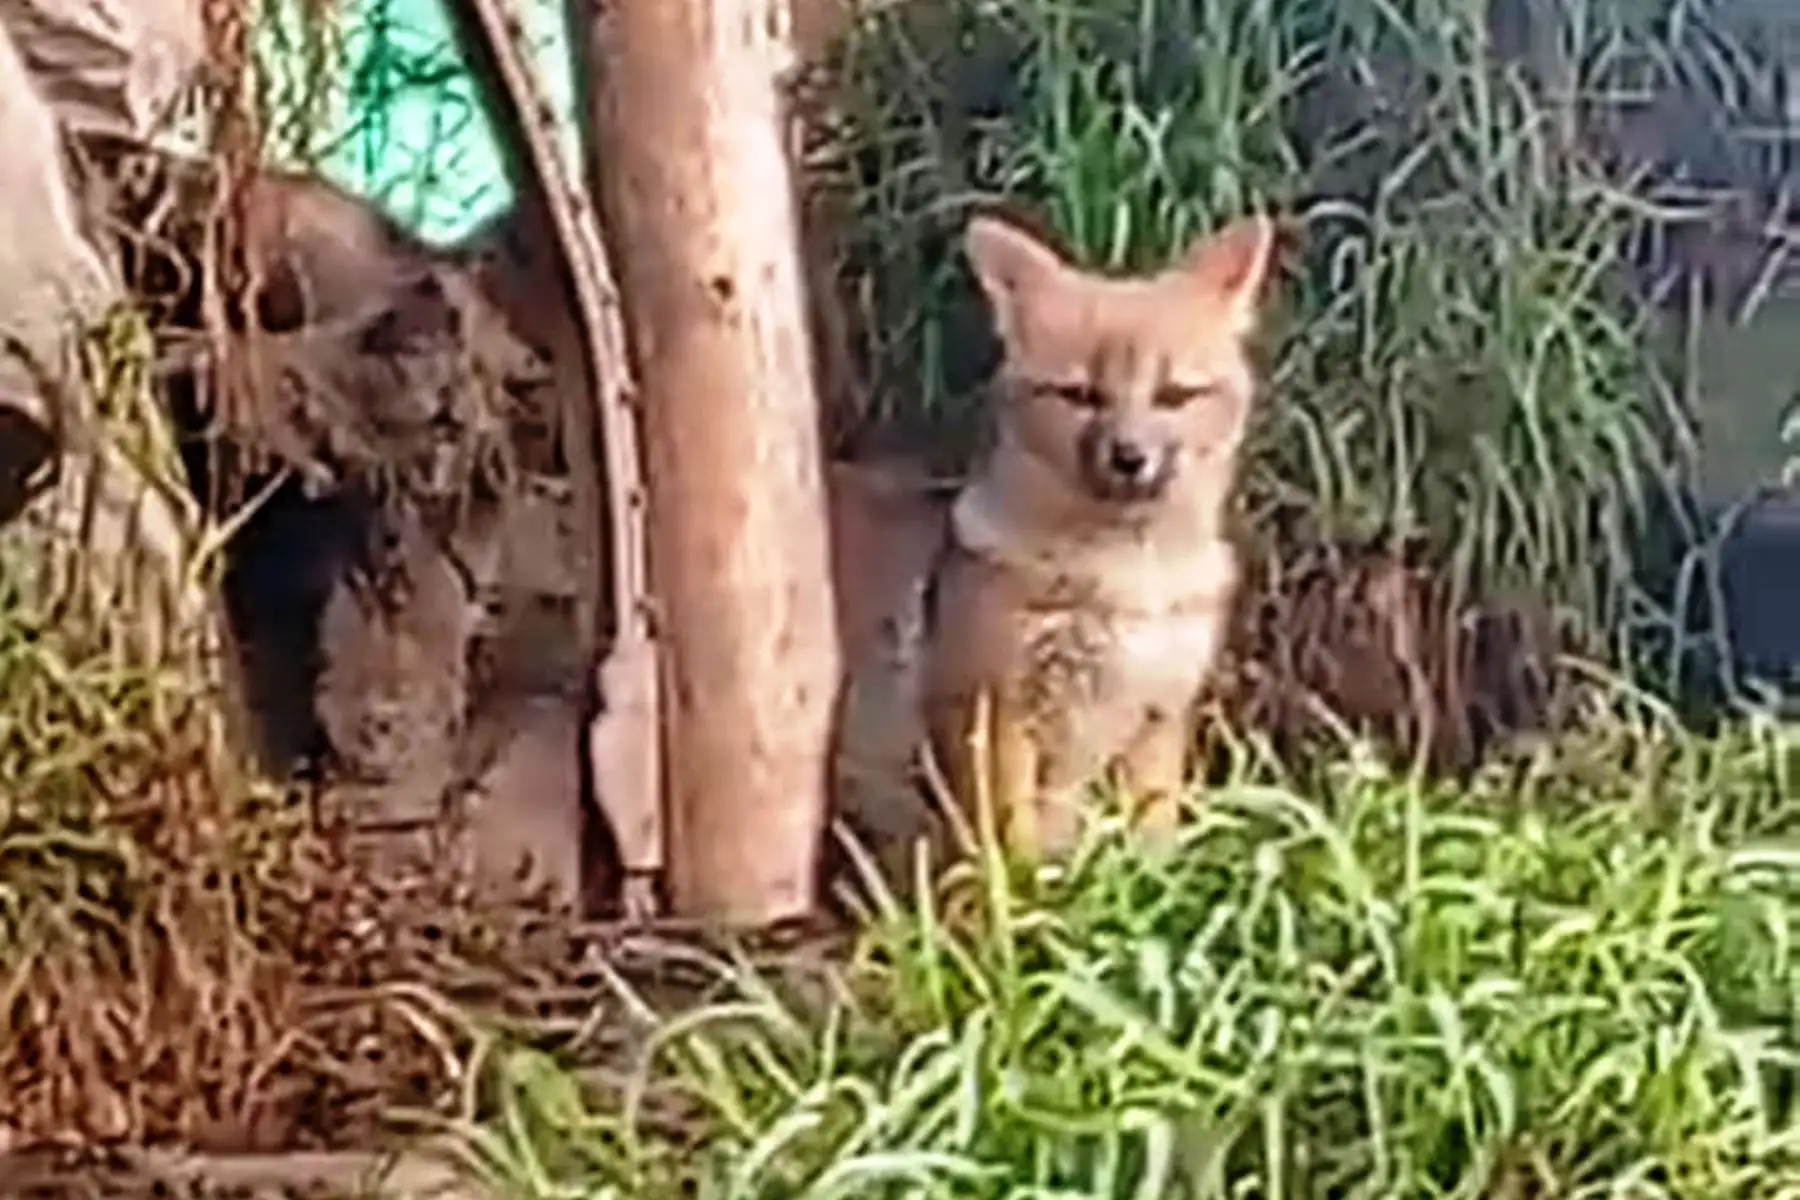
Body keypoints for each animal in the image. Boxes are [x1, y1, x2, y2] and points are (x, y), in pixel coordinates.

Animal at [902, 209, 1279, 862]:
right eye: (1078, 394)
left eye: (1175, 395)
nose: (1130, 457)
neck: (1122, 581)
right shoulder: (1002, 710)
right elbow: (1015, 844)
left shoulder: (1160, 717)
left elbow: (1154, 838)